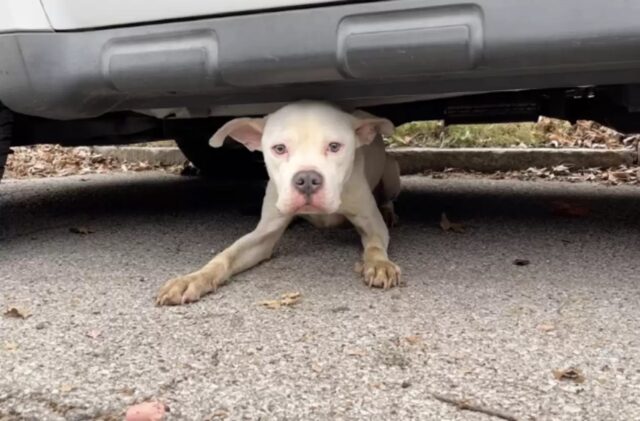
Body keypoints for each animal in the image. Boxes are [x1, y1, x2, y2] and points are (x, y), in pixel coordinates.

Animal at [156, 101, 400, 306]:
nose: (307, 180)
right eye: (279, 148)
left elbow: (374, 245)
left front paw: (379, 265)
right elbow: (227, 254)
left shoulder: (372, 224)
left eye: (334, 146)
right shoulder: (263, 235)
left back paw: (389, 211)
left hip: (391, 173)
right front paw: (193, 278)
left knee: (388, 197)